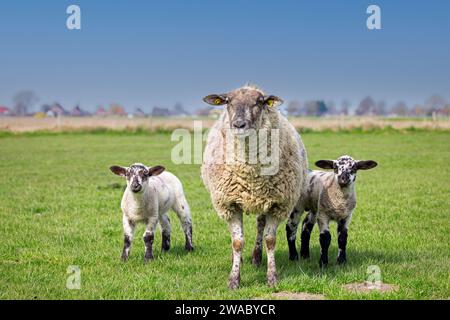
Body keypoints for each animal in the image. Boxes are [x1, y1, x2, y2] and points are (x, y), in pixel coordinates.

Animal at [202, 84, 308, 288]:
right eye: (228, 101)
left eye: (259, 102)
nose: (239, 124)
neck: (249, 174)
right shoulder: (229, 204)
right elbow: (237, 242)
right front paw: (234, 279)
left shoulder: (278, 204)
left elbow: (270, 240)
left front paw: (272, 277)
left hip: (264, 199)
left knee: (260, 225)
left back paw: (257, 257)